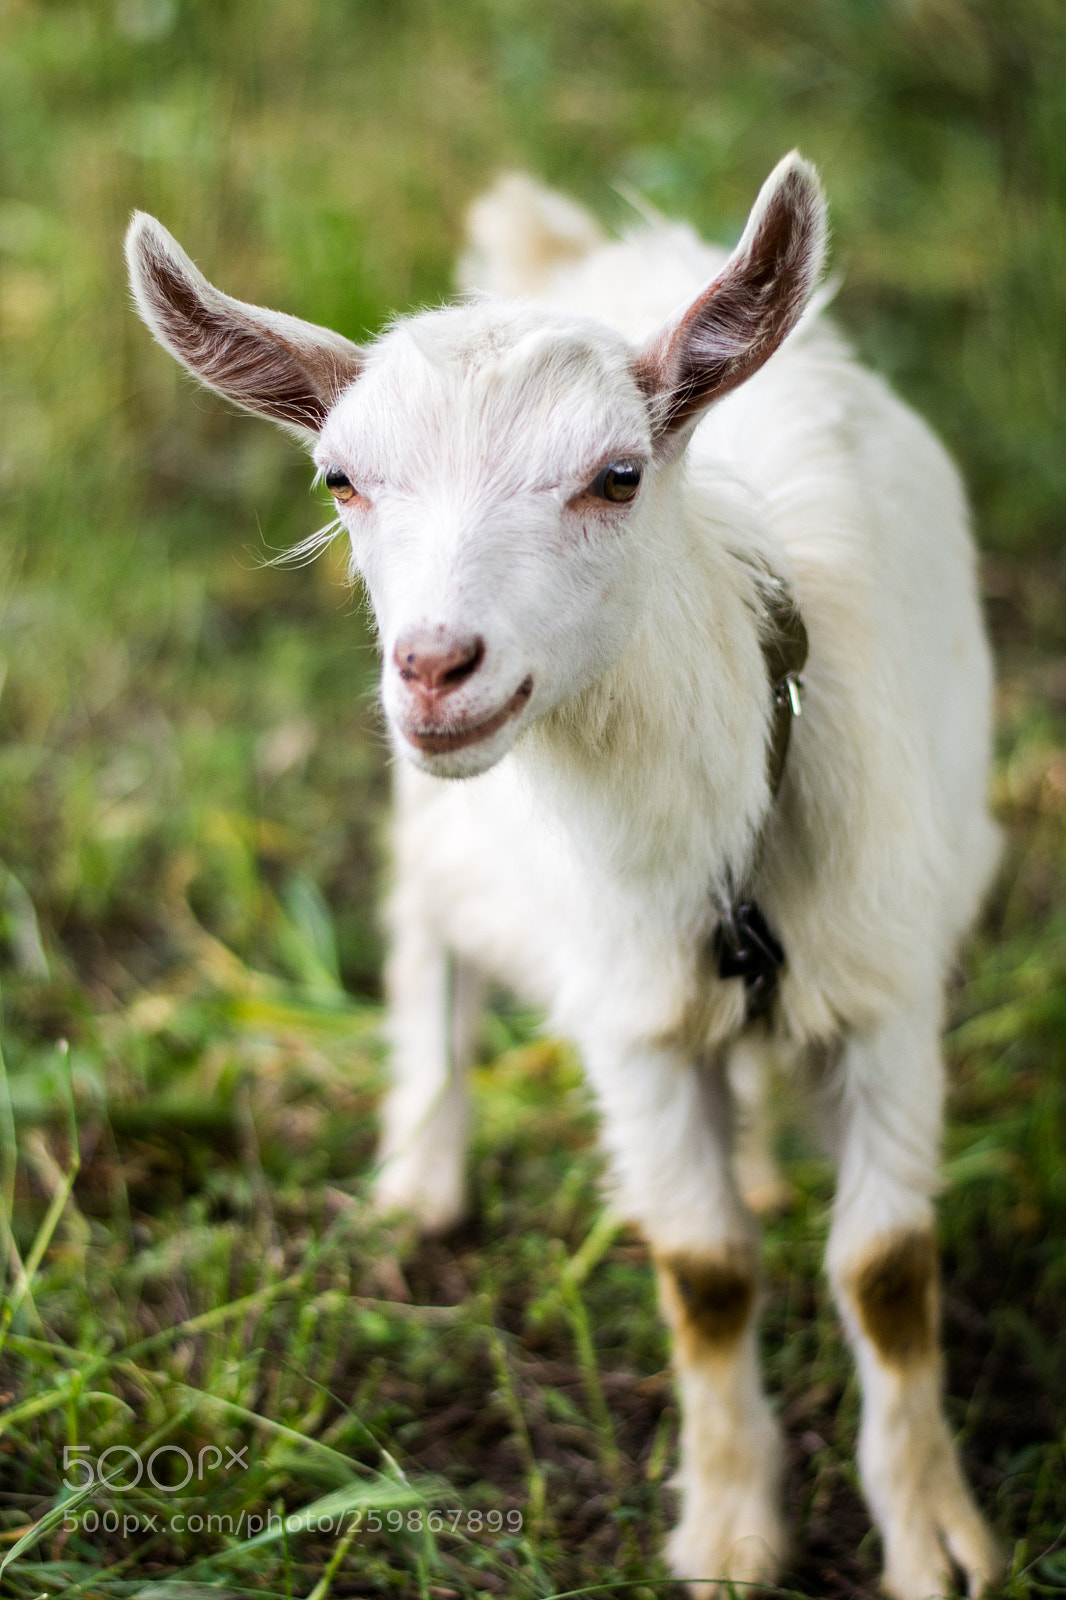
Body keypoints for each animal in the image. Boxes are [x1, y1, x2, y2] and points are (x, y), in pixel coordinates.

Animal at [126, 153, 1003, 1598]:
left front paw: (937, 1540)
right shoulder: (630, 1015)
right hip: (445, 835)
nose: (435, 667)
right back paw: (422, 1175)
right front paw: (729, 1533)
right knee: (425, 935)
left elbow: (885, 1271)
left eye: (616, 474)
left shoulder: (884, 981)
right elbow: (705, 1271)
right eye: (337, 480)